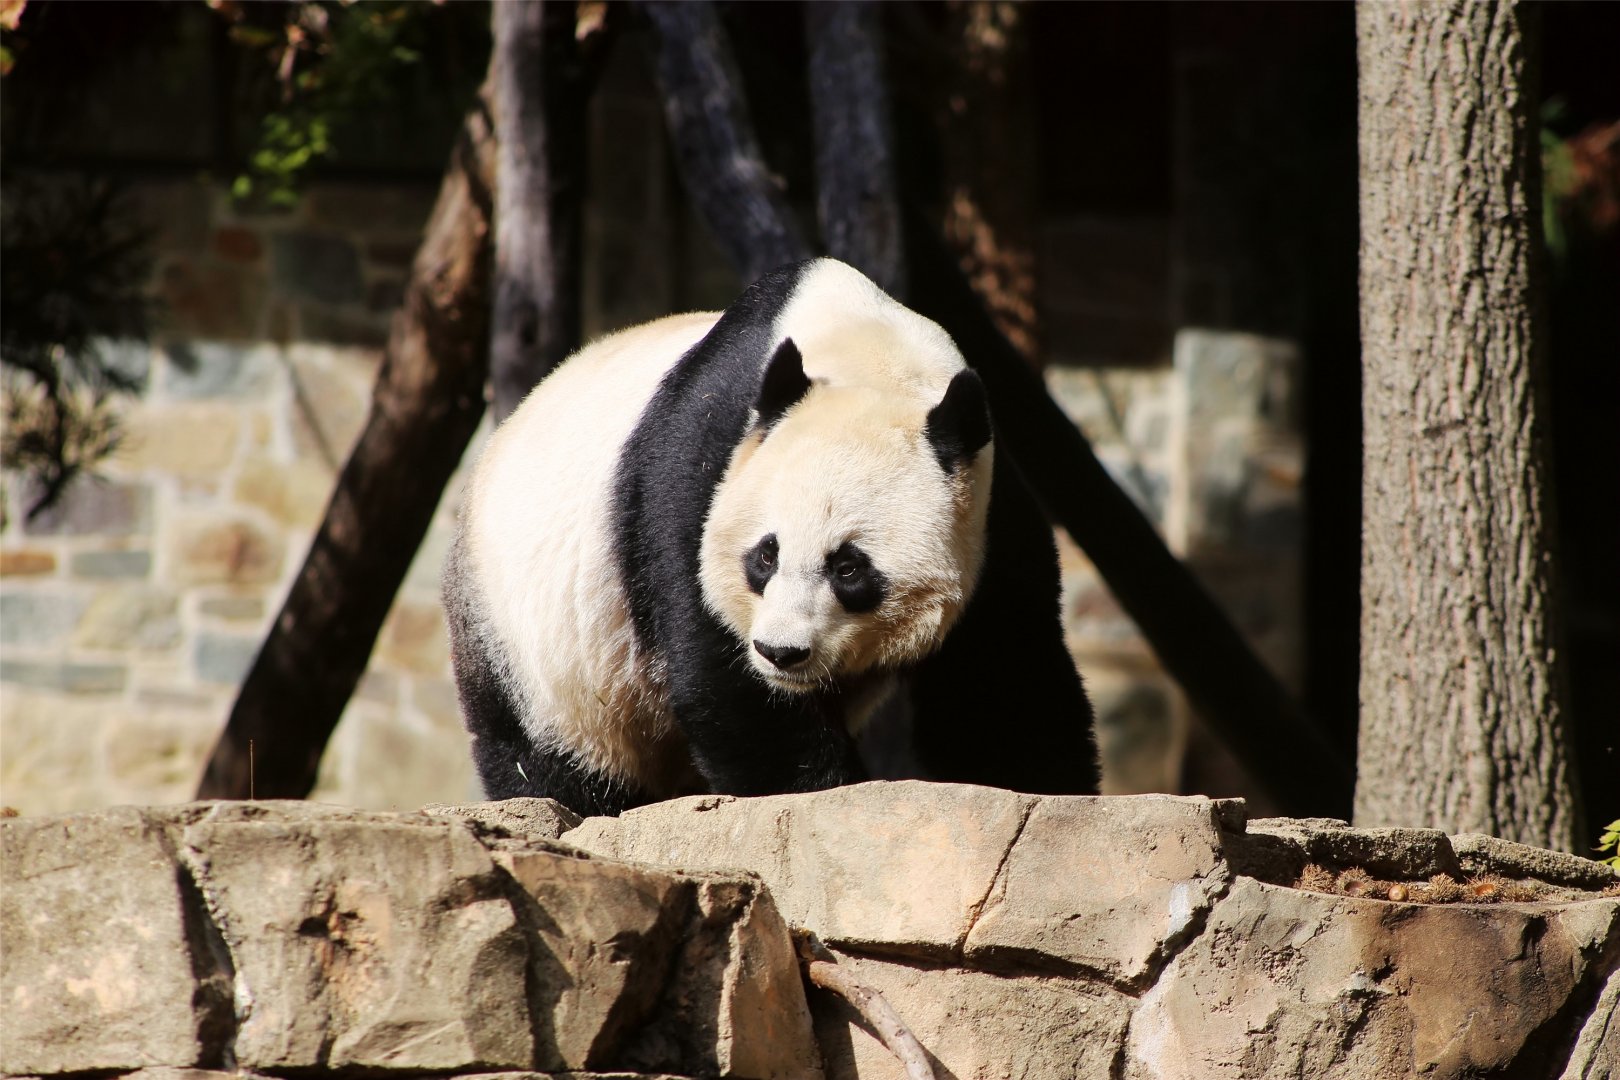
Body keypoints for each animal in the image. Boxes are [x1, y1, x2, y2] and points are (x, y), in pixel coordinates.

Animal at [444, 258, 1097, 816]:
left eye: (849, 568)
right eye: (765, 556)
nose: (781, 653)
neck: (869, 356)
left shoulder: (988, 508)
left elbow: (1004, 676)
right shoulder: (702, 471)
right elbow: (723, 670)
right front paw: (818, 794)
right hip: (532, 643)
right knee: (546, 754)